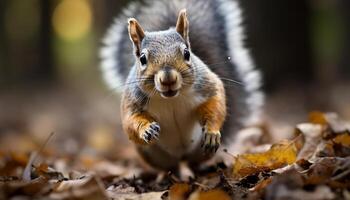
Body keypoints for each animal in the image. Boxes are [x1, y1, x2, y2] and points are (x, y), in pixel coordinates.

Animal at [100, 0, 264, 170]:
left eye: (187, 53)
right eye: (143, 59)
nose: (168, 79)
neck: (170, 99)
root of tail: (182, 156)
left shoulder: (206, 86)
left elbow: (215, 102)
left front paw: (211, 132)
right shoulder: (132, 100)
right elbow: (130, 121)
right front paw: (146, 129)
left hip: (200, 151)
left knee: (194, 163)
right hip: (154, 156)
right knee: (170, 168)